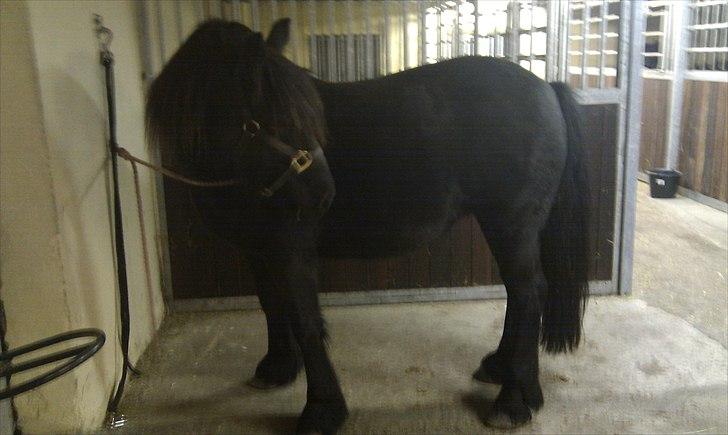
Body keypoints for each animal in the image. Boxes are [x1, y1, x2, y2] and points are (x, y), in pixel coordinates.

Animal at [146, 18, 589, 434]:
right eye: (261, 121)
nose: (324, 193)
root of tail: (545, 88)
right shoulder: (258, 249)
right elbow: (272, 305)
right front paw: (276, 368)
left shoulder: (292, 249)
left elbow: (306, 321)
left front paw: (322, 410)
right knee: (521, 292)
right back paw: (504, 372)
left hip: (511, 225)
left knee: (529, 292)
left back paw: (513, 400)